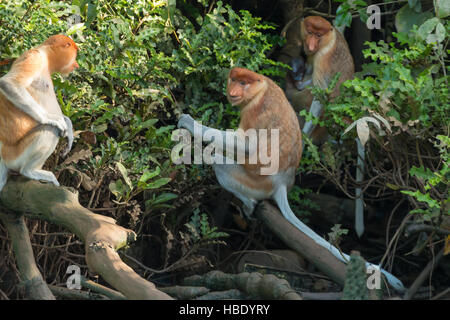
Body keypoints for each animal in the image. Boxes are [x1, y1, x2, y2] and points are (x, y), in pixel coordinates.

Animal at [0, 34, 78, 191]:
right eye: (75, 54)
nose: (76, 64)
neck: (46, 58)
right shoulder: (34, 58)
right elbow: (9, 83)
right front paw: (53, 120)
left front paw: (69, 127)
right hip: (14, 155)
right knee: (50, 130)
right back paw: (31, 171)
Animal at [178, 67, 404, 290]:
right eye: (233, 80)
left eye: (243, 83)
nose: (233, 91)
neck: (261, 90)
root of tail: (281, 184)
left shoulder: (256, 111)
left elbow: (247, 146)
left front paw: (188, 122)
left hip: (257, 183)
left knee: (220, 162)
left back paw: (249, 204)